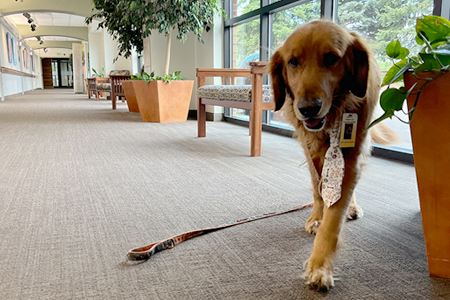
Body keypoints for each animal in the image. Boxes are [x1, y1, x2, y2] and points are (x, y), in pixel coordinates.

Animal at [268, 19, 396, 290]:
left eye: (331, 58)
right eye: (293, 62)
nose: (307, 108)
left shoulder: (349, 155)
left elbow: (334, 217)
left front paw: (320, 266)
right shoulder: (310, 150)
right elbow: (319, 189)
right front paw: (317, 217)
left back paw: (352, 207)